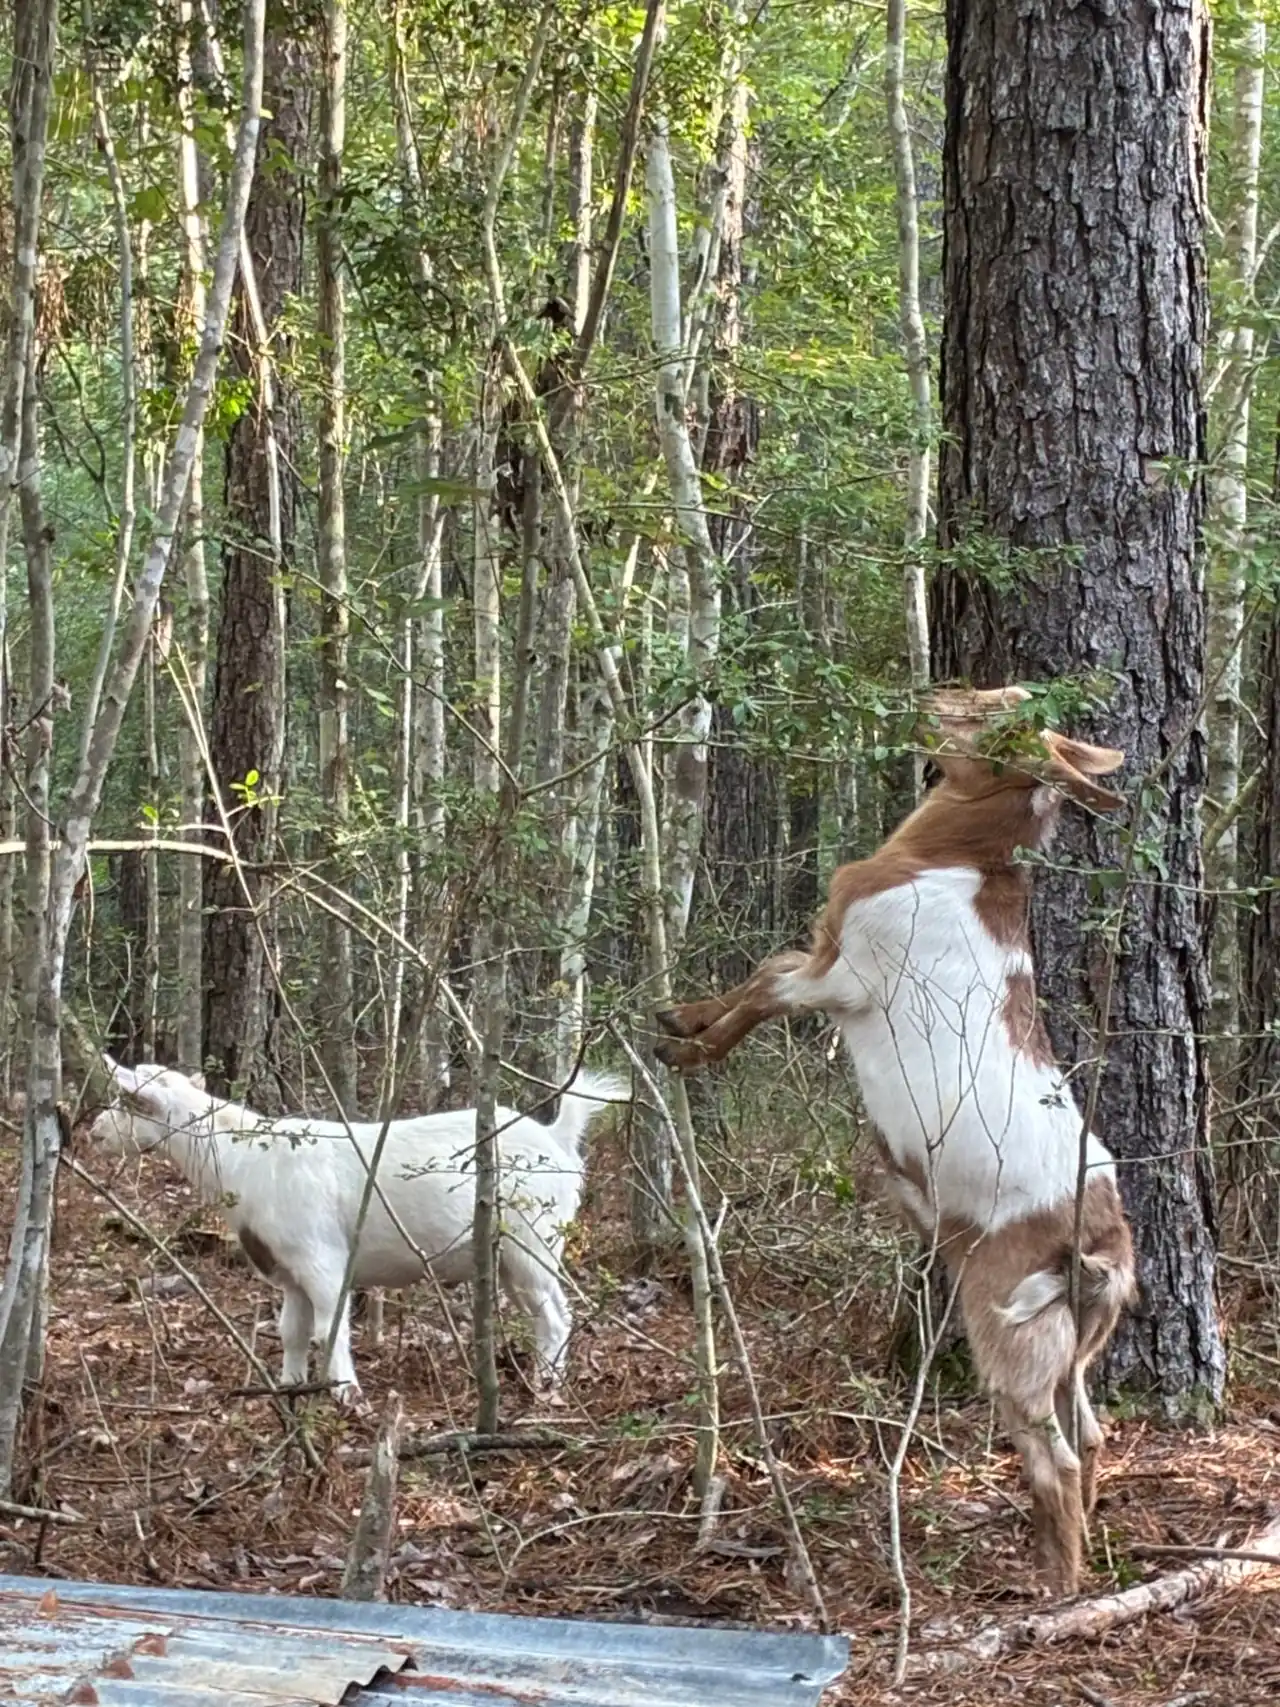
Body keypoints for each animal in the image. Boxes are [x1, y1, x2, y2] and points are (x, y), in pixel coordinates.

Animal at [90, 1058, 629, 1401]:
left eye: (127, 1101)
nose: (93, 1132)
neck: (245, 1161)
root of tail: (558, 1137)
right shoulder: (288, 1270)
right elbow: (291, 1331)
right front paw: (291, 1387)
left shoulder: (321, 1259)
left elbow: (331, 1329)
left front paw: (347, 1395)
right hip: (511, 1253)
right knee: (546, 1313)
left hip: (533, 1237)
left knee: (556, 1315)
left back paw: (548, 1387)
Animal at [654, 686, 1137, 1593]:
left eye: (992, 716)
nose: (929, 696)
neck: (947, 859)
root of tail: (1101, 1248)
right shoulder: (828, 959)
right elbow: (767, 968)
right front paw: (682, 1015)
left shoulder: (846, 979)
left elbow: (767, 989)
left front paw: (689, 1048)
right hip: (1074, 1345)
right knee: (1089, 1434)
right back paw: (1067, 1555)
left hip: (1008, 1323)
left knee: (1051, 1453)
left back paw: (1053, 1585)